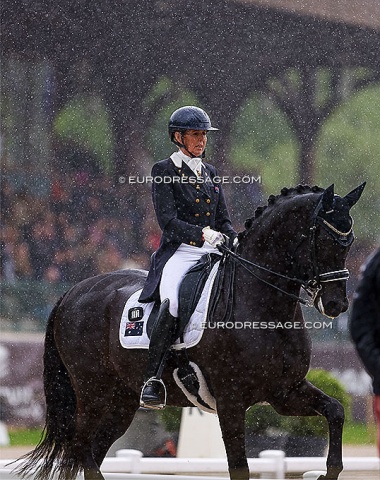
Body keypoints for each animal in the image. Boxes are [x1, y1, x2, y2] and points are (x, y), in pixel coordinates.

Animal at [17, 182, 366, 478]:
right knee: (81, 450)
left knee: (93, 452)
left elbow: (335, 411)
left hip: (120, 401)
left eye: (349, 243)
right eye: (322, 240)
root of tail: (73, 291)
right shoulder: (230, 401)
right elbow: (239, 469)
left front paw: (328, 471)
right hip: (92, 392)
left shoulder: (284, 392)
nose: (336, 304)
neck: (263, 308)